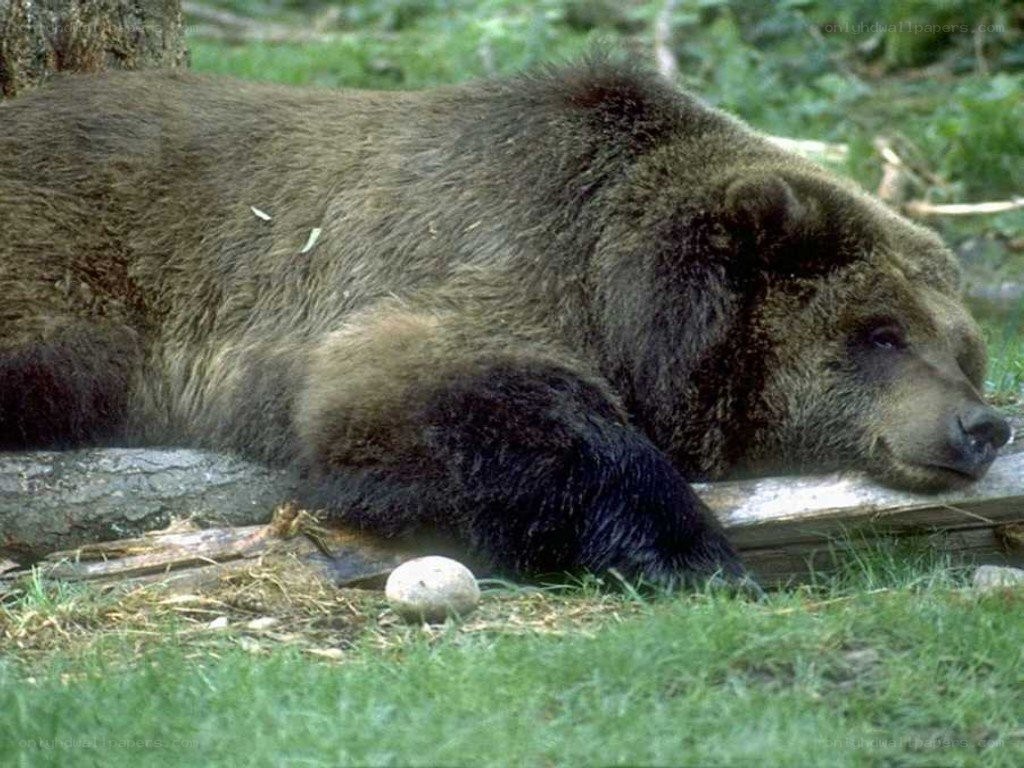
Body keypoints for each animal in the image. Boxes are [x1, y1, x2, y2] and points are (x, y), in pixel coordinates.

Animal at [0, 60, 1011, 586]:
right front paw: (694, 551)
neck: (622, 290)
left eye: (963, 347)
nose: (980, 424)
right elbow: (461, 401)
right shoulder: (478, 261)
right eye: (880, 332)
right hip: (76, 262)